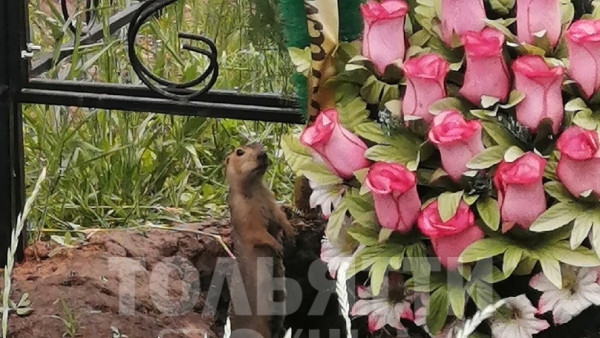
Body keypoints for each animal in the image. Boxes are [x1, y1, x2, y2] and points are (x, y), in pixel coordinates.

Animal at [225, 143, 296, 338]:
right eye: (239, 152)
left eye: (260, 145)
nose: (263, 154)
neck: (255, 187)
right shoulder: (243, 210)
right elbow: (257, 232)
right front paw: (278, 246)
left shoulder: (269, 198)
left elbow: (279, 216)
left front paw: (291, 235)